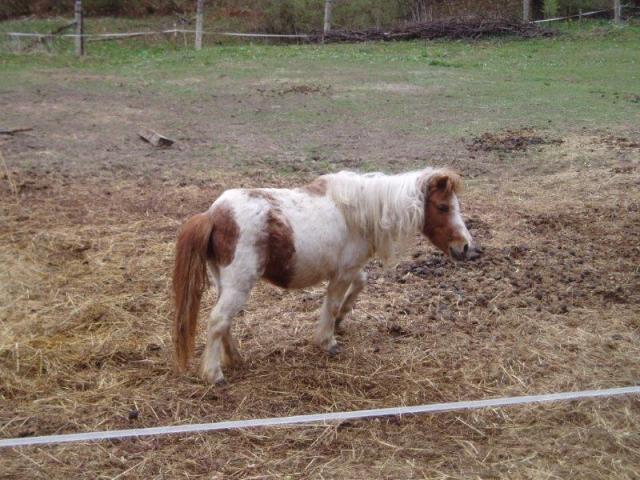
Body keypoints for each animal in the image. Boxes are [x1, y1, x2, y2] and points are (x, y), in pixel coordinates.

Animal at [172, 167, 478, 384]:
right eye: (443, 207)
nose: (465, 247)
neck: (361, 211)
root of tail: (212, 215)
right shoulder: (342, 273)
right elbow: (331, 305)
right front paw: (327, 341)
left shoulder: (349, 269)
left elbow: (359, 285)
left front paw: (341, 320)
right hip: (238, 286)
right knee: (218, 321)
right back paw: (214, 374)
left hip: (226, 285)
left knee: (225, 324)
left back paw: (235, 358)